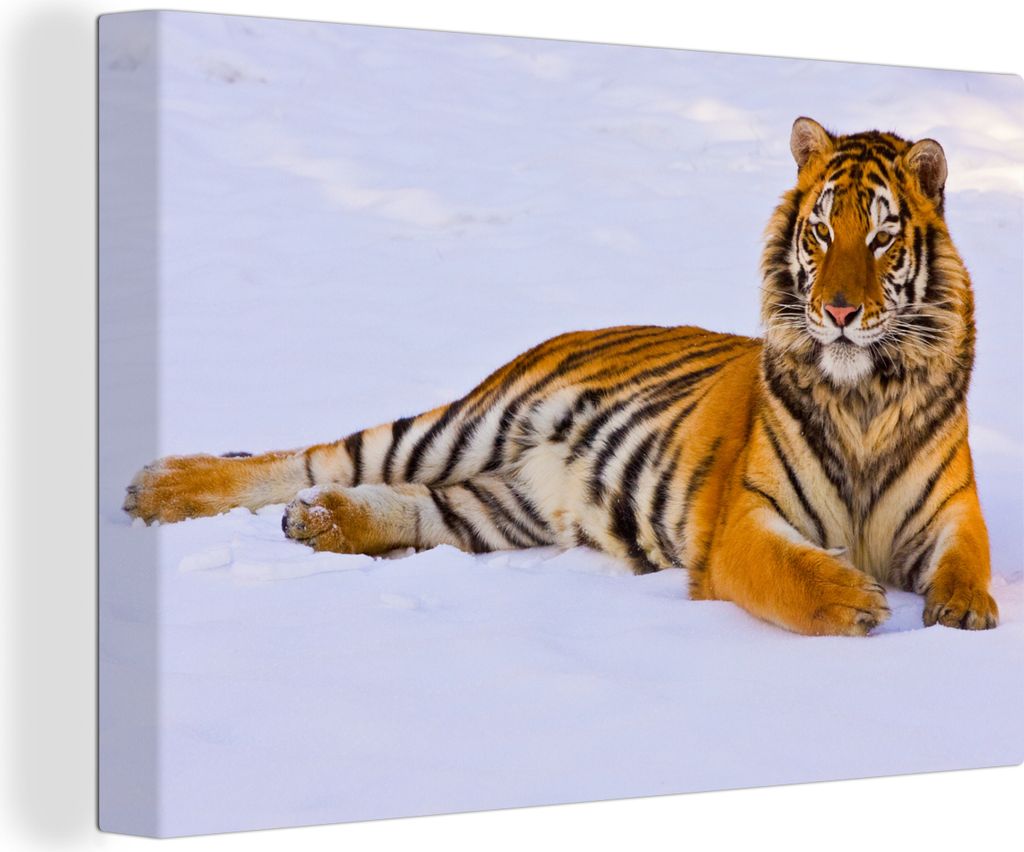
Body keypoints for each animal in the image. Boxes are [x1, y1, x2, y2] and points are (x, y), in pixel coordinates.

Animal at [123, 116, 998, 636]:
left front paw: (966, 611)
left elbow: (970, 559)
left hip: (500, 506)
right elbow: (790, 572)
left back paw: (319, 523)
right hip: (464, 424)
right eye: (820, 233)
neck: (865, 393)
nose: (840, 311)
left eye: (881, 238)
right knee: (307, 459)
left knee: (407, 505)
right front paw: (853, 599)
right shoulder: (745, 522)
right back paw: (157, 489)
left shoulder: (951, 508)